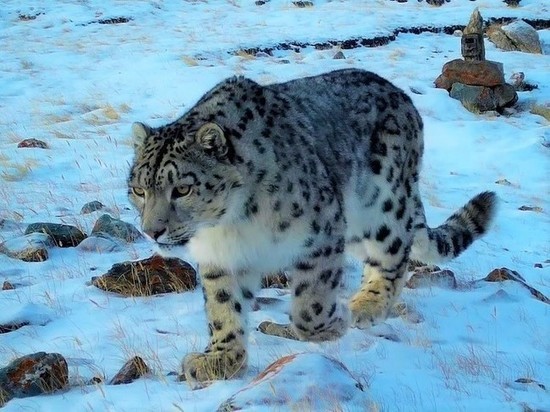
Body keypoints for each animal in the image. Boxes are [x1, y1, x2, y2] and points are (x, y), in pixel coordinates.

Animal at [127, 68, 498, 386]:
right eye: (139, 189)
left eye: (182, 189)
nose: (152, 230)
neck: (229, 225)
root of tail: (402, 97)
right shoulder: (221, 258)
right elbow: (223, 307)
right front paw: (220, 359)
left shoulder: (320, 231)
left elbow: (310, 303)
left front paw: (334, 323)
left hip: (383, 204)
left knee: (392, 255)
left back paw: (366, 305)